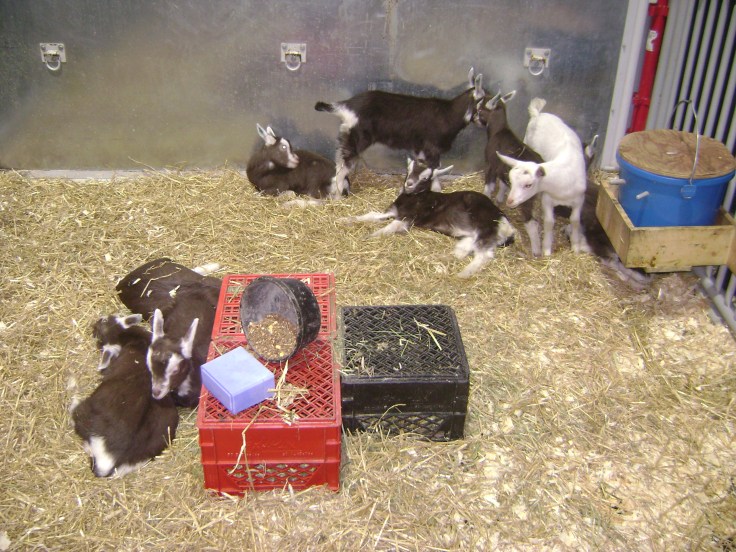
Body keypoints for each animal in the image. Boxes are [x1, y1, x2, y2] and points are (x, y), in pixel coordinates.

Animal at [315, 68, 486, 196]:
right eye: (486, 99)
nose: (484, 122)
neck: (449, 114)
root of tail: (346, 106)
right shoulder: (432, 148)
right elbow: (434, 168)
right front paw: (436, 189)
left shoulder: (420, 148)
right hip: (356, 139)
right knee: (343, 167)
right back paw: (338, 194)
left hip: (347, 136)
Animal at [339, 158, 516, 278]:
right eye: (409, 169)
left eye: (425, 177)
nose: (409, 184)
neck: (415, 197)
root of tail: (507, 226)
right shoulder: (394, 212)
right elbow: (372, 215)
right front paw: (347, 220)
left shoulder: (408, 218)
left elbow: (390, 227)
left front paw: (371, 235)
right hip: (473, 235)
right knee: (463, 250)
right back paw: (444, 259)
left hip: (486, 228)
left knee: (484, 255)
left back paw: (463, 274)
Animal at [475, 90, 544, 257]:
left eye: (480, 110)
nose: (474, 118)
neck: (499, 131)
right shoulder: (503, 169)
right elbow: (503, 185)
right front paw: (500, 199)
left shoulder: (491, 165)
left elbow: (489, 185)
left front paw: (487, 197)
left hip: (526, 199)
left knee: (531, 222)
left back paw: (536, 251)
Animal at [496, 98, 590, 257]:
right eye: (511, 181)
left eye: (528, 185)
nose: (510, 201)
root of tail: (538, 114)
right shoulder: (547, 198)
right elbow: (549, 222)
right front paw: (546, 249)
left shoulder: (579, 199)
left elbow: (575, 220)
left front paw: (575, 246)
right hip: (527, 139)